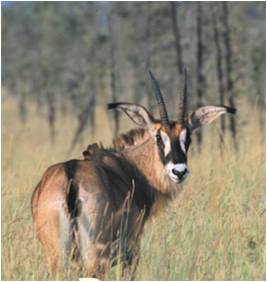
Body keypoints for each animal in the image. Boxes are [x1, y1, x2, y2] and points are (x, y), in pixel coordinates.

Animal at [30, 70, 237, 278]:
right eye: (159, 137)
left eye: (188, 138)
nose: (179, 171)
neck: (130, 166)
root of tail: (71, 176)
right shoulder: (131, 250)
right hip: (95, 256)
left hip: (58, 257)